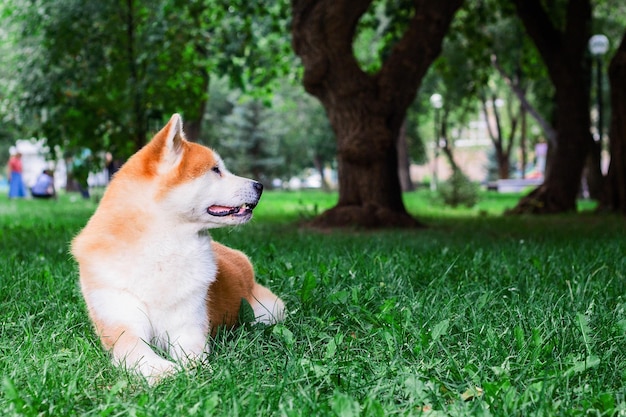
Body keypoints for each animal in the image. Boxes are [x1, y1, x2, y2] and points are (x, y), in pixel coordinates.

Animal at [70, 112, 282, 382]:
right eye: (215, 170)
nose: (260, 186)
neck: (162, 248)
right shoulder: (121, 323)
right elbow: (138, 353)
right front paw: (166, 372)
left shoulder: (188, 325)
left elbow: (192, 353)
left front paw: (195, 371)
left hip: (269, 310)